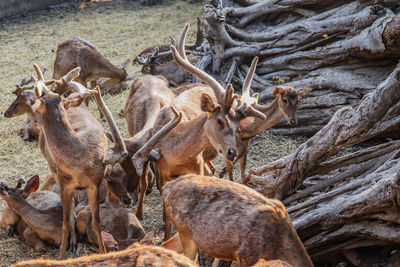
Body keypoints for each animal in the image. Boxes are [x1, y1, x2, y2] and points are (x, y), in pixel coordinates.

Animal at [126, 24, 266, 240]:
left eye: (237, 125)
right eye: (220, 120)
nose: (232, 152)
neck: (175, 153)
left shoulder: (197, 167)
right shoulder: (163, 174)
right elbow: (168, 214)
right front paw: (165, 239)